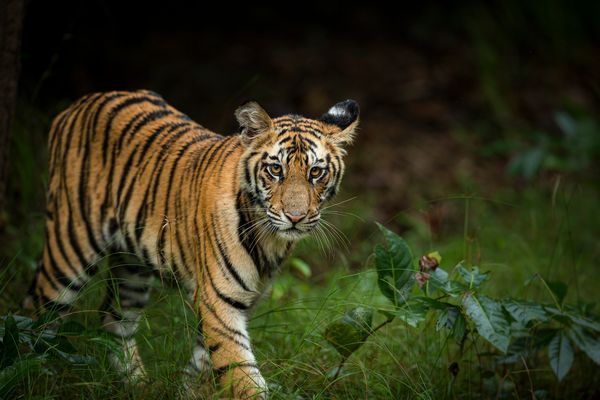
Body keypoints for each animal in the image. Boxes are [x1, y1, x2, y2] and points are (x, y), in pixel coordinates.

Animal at [25, 90, 358, 400]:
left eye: (316, 172)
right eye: (275, 170)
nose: (295, 217)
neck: (270, 240)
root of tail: (79, 104)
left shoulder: (237, 303)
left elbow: (202, 363)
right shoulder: (219, 300)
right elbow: (241, 373)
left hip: (132, 266)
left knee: (114, 318)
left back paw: (137, 384)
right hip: (69, 246)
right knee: (36, 315)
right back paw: (34, 377)